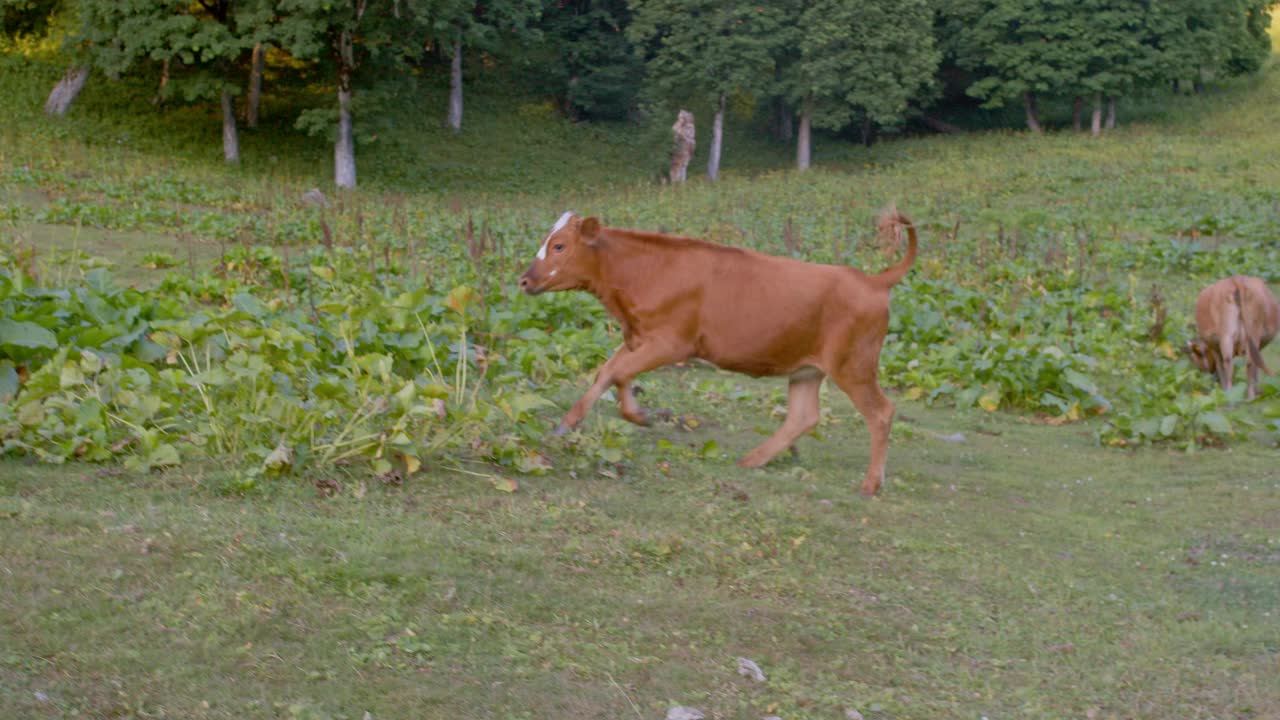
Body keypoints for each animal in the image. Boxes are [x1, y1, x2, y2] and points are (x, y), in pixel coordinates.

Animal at [519, 210, 921, 497]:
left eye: (559, 246)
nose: (524, 280)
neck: (646, 272)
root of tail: (873, 280)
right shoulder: (638, 337)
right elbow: (608, 372)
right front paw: (570, 424)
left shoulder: (671, 342)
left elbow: (617, 373)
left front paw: (635, 415)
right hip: (807, 369)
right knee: (803, 416)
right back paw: (752, 460)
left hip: (854, 366)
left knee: (880, 413)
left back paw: (871, 484)